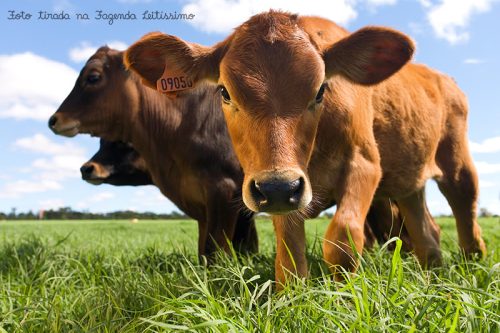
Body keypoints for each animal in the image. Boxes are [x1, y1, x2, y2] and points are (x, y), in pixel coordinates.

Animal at [124, 12, 484, 282]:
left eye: (321, 89)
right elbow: (289, 258)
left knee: (467, 216)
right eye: (225, 92)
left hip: (457, 165)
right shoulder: (279, 191)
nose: (278, 186)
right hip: (409, 180)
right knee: (427, 233)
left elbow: (343, 239)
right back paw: (434, 275)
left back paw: (473, 269)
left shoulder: (365, 165)